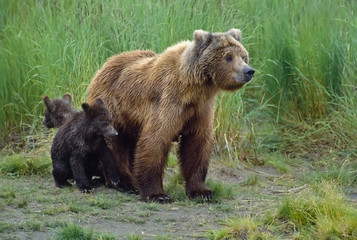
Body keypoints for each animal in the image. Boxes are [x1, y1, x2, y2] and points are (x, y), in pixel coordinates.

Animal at [86, 27, 253, 201]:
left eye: (243, 56)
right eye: (228, 57)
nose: (249, 71)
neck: (194, 89)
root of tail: (104, 65)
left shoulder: (201, 109)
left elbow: (197, 144)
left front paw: (202, 191)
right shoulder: (169, 102)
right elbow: (155, 140)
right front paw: (157, 194)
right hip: (113, 106)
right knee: (115, 144)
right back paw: (125, 183)